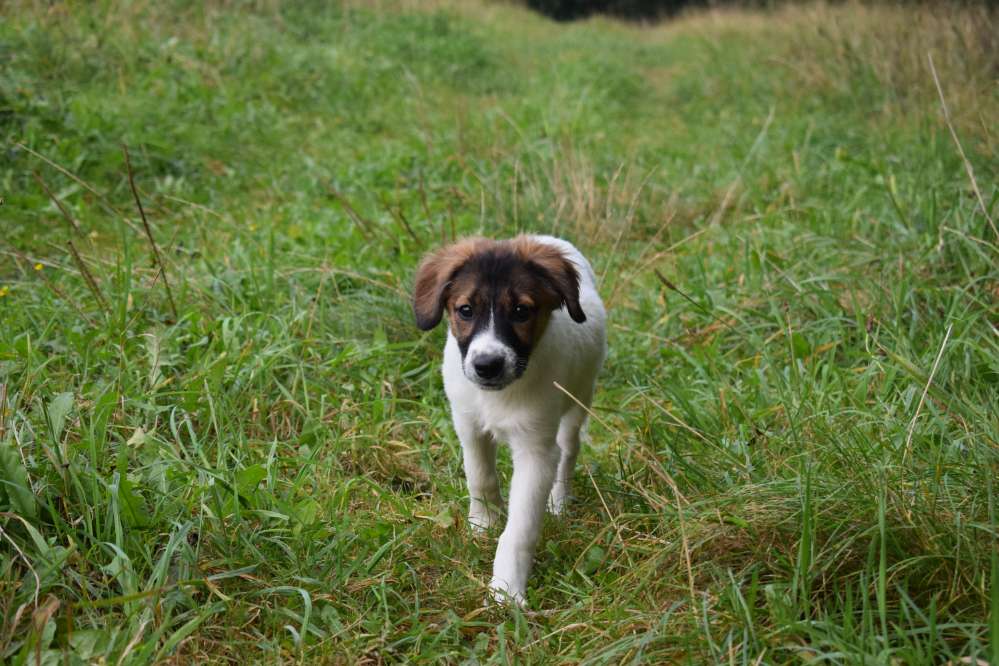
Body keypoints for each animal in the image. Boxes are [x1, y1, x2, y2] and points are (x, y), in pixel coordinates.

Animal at [410, 233, 604, 600]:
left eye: (521, 311)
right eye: (465, 310)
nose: (487, 365)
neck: (497, 397)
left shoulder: (535, 450)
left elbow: (521, 528)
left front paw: (506, 590)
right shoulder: (468, 426)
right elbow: (481, 478)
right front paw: (483, 524)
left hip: (578, 401)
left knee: (567, 454)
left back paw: (559, 503)